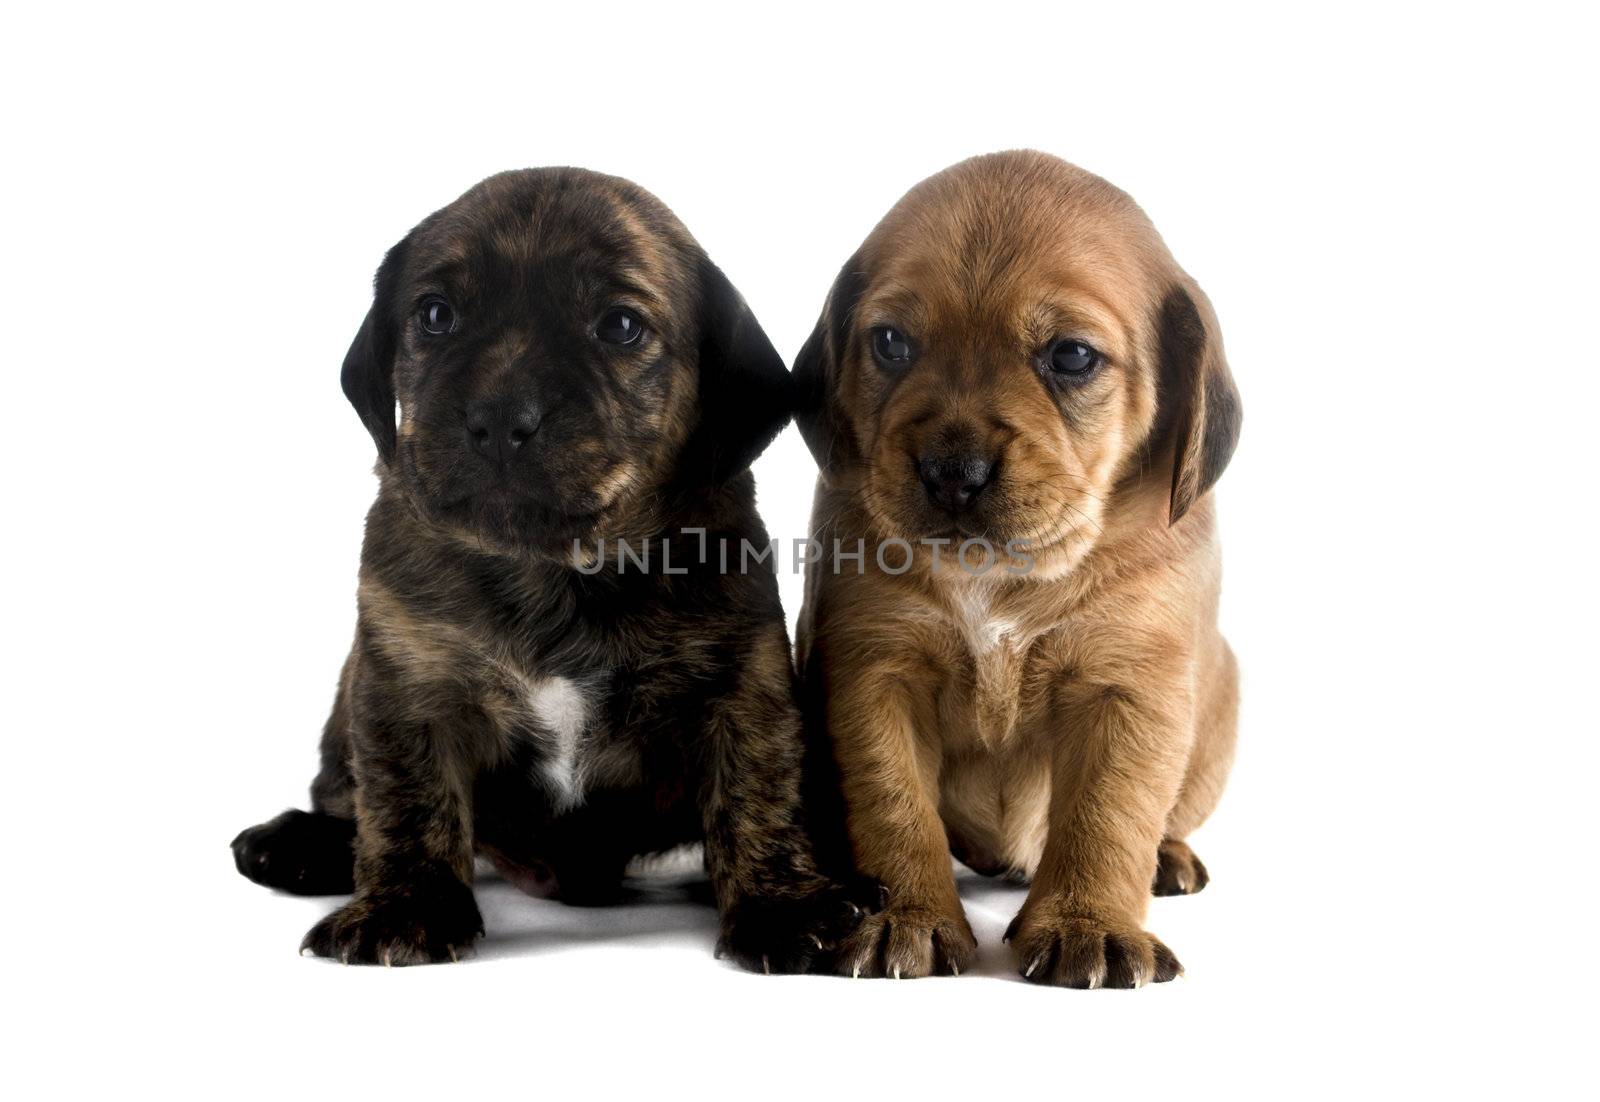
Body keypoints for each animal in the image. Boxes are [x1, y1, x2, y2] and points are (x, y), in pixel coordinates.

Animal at [228, 167, 864, 966]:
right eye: (435, 315)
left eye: (621, 326)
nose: (501, 418)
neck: (554, 572)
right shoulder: (408, 682)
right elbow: (406, 801)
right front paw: (405, 908)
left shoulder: (741, 684)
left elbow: (759, 793)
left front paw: (782, 909)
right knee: (347, 796)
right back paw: (300, 843)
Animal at [793, 150, 1241, 985]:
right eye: (892, 343)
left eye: (1071, 356)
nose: (952, 474)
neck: (1001, 576)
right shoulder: (875, 674)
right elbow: (894, 807)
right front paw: (908, 915)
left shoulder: (1128, 689)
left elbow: (1106, 817)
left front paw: (1088, 924)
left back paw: (1167, 858)